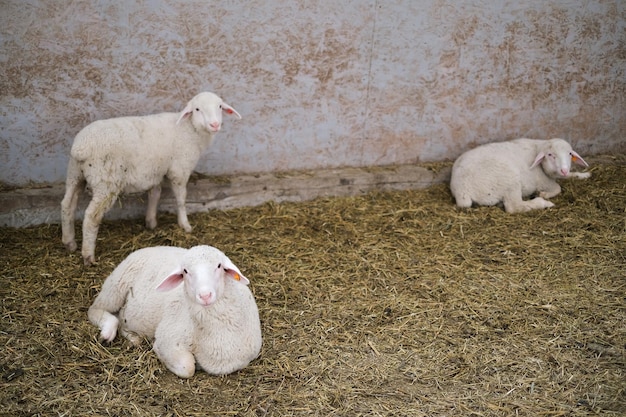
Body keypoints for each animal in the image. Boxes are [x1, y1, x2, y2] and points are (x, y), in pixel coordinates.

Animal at [60, 92, 241, 264]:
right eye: (197, 109)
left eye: (219, 106)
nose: (215, 125)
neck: (190, 129)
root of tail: (81, 147)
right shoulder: (179, 170)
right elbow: (181, 199)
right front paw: (185, 224)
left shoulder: (155, 172)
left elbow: (155, 194)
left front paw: (151, 222)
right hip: (105, 183)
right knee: (91, 216)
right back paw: (88, 255)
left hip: (74, 175)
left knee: (67, 205)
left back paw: (69, 242)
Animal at [86, 244, 260, 376]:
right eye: (185, 271)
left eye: (219, 266)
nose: (205, 295)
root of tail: (154, 247)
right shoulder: (168, 337)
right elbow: (188, 367)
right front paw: (158, 350)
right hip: (116, 285)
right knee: (95, 310)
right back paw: (107, 333)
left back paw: (133, 337)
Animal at [448, 138, 588, 213]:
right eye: (550, 155)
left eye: (570, 154)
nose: (564, 170)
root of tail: (461, 190)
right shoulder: (544, 181)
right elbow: (558, 188)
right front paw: (544, 194)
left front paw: (584, 175)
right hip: (509, 179)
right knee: (514, 206)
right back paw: (543, 203)